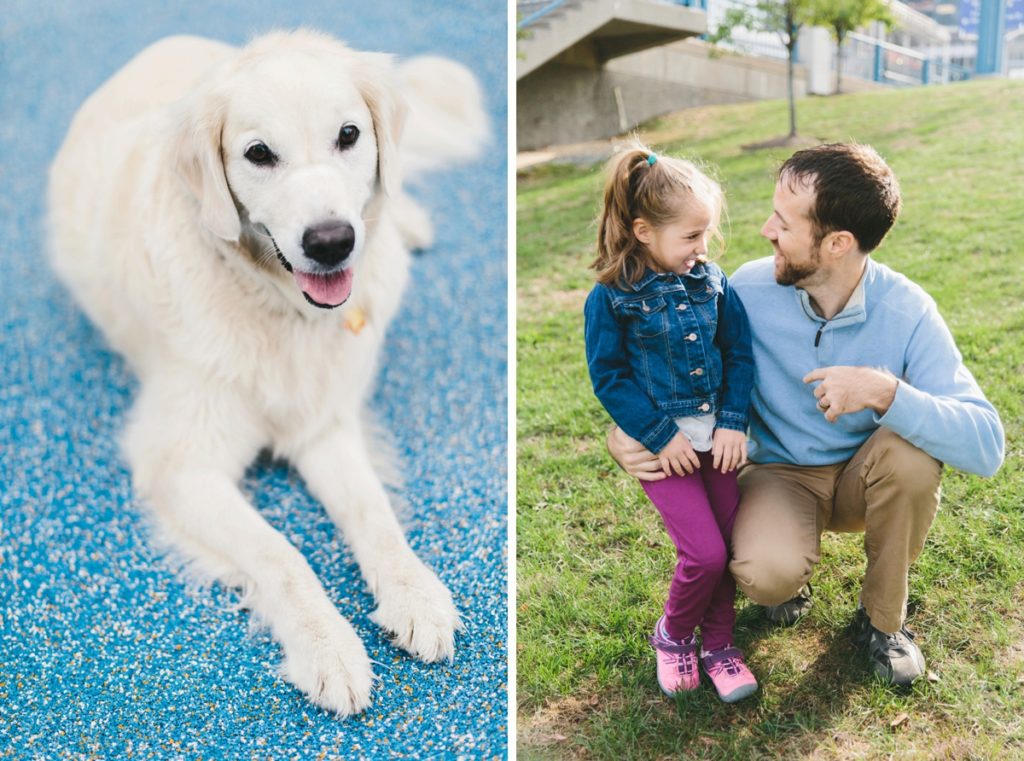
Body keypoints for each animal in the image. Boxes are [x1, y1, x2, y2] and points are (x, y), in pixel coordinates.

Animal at [49, 31, 489, 721]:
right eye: (258, 153)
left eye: (348, 135)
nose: (333, 241)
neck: (279, 308)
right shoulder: (181, 465)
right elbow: (279, 553)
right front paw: (327, 645)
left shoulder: (325, 425)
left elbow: (373, 514)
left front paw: (414, 592)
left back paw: (410, 223)